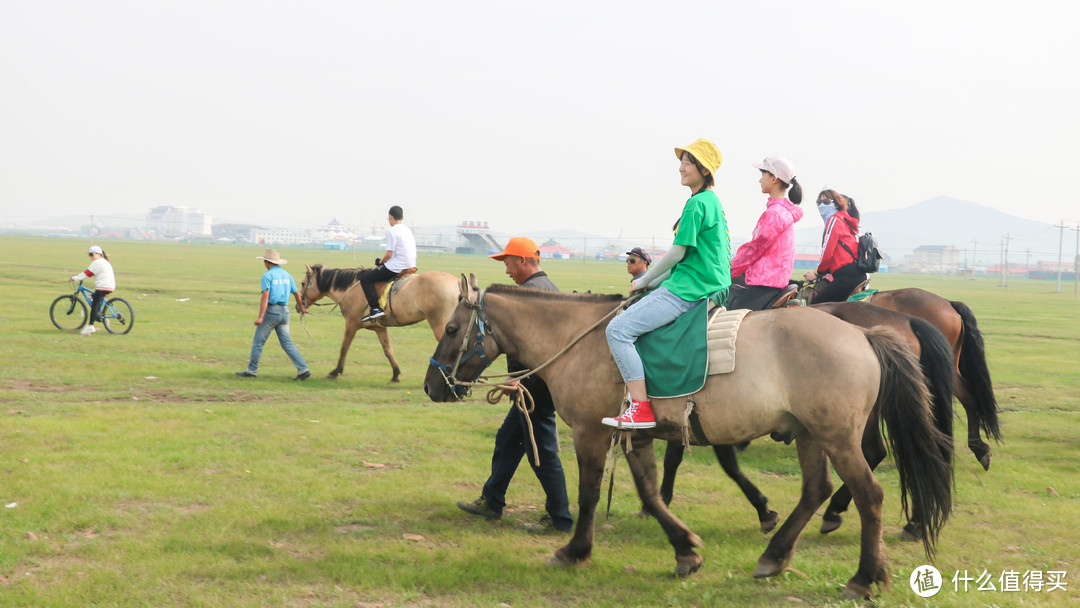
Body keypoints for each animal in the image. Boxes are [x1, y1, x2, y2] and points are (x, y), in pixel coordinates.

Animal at [300, 265, 460, 382]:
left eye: (302, 283)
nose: (298, 305)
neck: (351, 289)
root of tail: (457, 283)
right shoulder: (379, 328)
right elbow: (388, 350)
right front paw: (395, 374)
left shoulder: (351, 324)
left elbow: (344, 348)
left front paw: (336, 371)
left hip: (441, 326)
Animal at [423, 278, 954, 600]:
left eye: (451, 327)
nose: (432, 386)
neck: (582, 340)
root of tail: (864, 334)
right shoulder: (635, 437)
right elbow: (650, 493)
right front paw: (685, 550)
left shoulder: (593, 434)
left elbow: (591, 493)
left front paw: (574, 550)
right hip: (809, 435)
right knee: (816, 490)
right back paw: (776, 556)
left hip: (838, 437)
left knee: (869, 495)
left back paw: (864, 576)